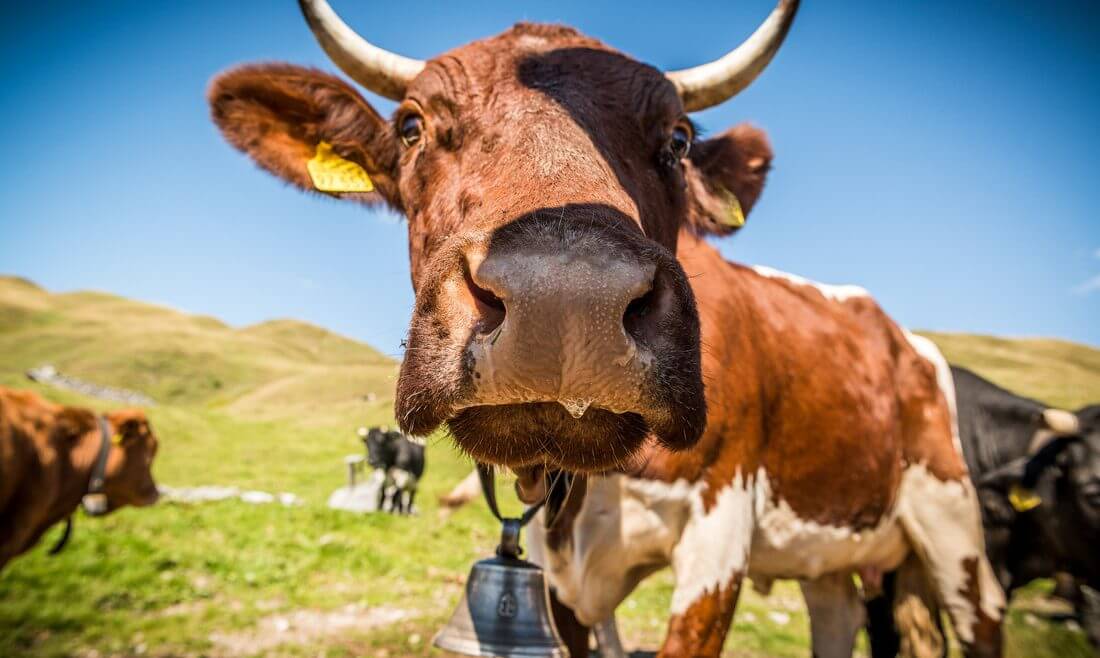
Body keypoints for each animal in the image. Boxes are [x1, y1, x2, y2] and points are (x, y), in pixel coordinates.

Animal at [206, 2, 1007, 655]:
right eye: (410, 125)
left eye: (678, 140)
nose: (566, 302)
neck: (593, 490)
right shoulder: (557, 582)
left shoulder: (718, 540)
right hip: (832, 558)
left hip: (954, 530)